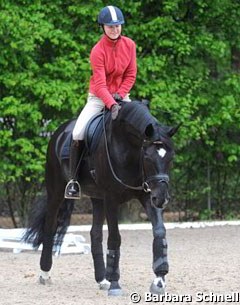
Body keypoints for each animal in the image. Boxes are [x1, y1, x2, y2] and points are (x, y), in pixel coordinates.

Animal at [23, 100, 178, 294]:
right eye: (148, 157)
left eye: (170, 158)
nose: (162, 199)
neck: (128, 147)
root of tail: (59, 132)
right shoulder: (111, 199)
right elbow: (115, 238)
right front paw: (115, 283)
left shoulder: (146, 196)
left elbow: (159, 232)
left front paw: (159, 279)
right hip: (56, 192)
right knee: (50, 227)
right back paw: (45, 273)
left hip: (97, 198)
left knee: (95, 233)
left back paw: (102, 279)